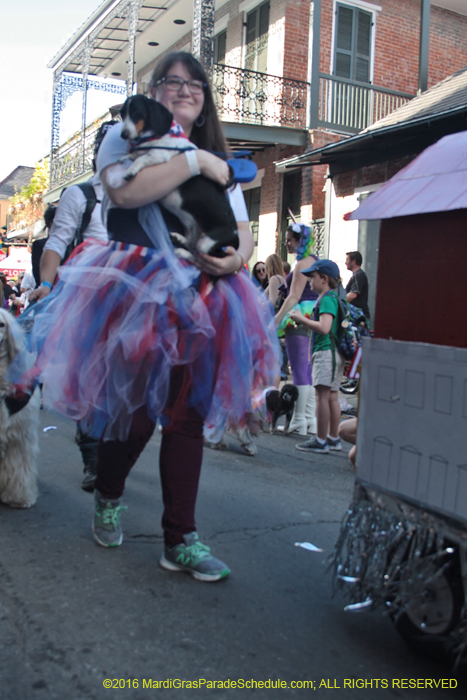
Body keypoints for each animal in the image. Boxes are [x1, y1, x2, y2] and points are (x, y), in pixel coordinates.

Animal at [119, 95, 239, 260]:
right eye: (122, 114)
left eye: (137, 112)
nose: (123, 135)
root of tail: (235, 236)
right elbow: (133, 155)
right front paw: (124, 158)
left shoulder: (159, 155)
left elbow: (140, 159)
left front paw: (131, 170)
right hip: (194, 227)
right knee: (192, 244)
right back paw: (180, 239)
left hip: (208, 242)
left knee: (200, 257)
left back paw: (182, 252)